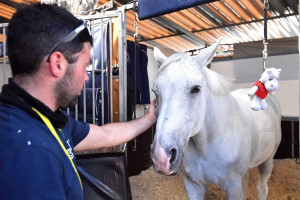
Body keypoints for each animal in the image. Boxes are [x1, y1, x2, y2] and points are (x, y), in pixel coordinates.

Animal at [151, 40, 282, 200]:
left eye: (196, 89)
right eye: (155, 91)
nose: (161, 158)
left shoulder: (234, 186)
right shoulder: (193, 185)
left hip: (267, 160)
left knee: (262, 188)